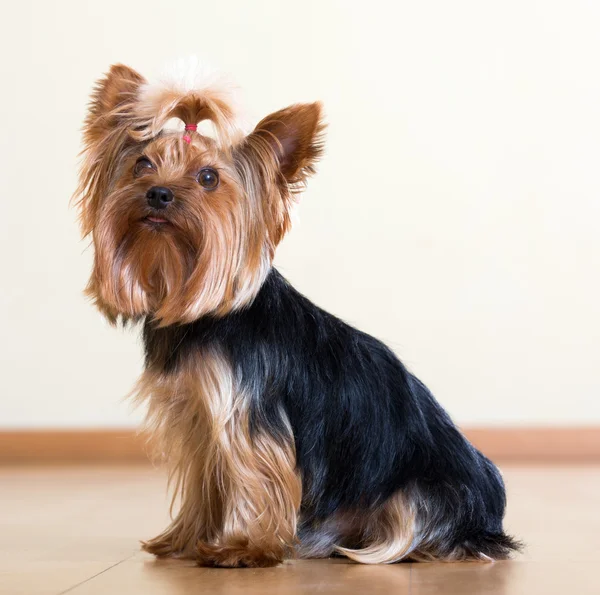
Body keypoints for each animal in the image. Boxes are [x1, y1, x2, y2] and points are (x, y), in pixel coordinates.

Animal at [76, 60, 520, 568]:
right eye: (142, 164)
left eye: (208, 178)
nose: (158, 193)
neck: (204, 311)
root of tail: (492, 520)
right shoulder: (199, 418)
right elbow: (205, 483)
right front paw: (184, 540)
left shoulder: (246, 416)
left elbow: (255, 477)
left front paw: (244, 547)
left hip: (421, 490)